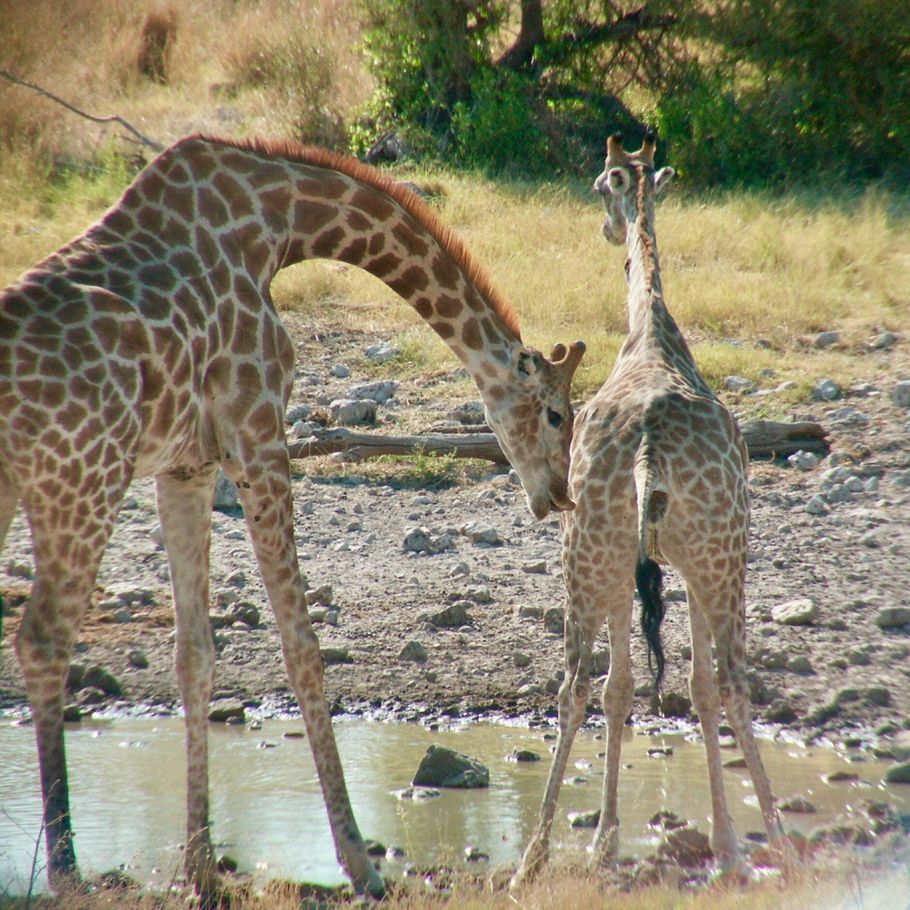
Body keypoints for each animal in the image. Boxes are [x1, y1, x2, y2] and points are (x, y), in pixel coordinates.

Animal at [0, 132, 584, 900]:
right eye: (555, 414)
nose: (558, 495)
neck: (278, 224)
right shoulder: (258, 437)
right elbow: (303, 645)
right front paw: (361, 864)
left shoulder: (187, 464)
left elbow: (195, 654)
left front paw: (202, 869)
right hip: (81, 481)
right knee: (42, 639)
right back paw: (68, 871)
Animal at [510, 135, 788, 892]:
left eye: (599, 185)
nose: (608, 230)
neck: (652, 334)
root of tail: (646, 453)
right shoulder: (672, 565)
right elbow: (677, 686)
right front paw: (708, 840)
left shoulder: (643, 566)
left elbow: (633, 688)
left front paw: (608, 841)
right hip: (717, 557)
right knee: (728, 679)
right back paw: (773, 843)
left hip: (595, 553)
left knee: (578, 684)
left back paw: (531, 860)